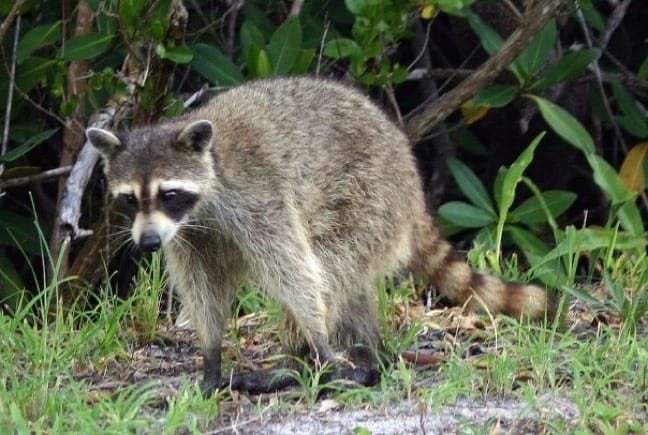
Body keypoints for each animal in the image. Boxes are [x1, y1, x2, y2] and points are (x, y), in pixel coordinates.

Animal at [85, 76, 552, 396]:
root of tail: (411, 181)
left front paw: (320, 341)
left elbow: (294, 269)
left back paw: (305, 360)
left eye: (168, 193)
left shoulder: (259, 197)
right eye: (129, 199)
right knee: (351, 288)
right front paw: (211, 355)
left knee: (327, 264)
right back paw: (369, 353)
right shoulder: (190, 236)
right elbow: (203, 287)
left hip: (365, 198)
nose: (147, 244)